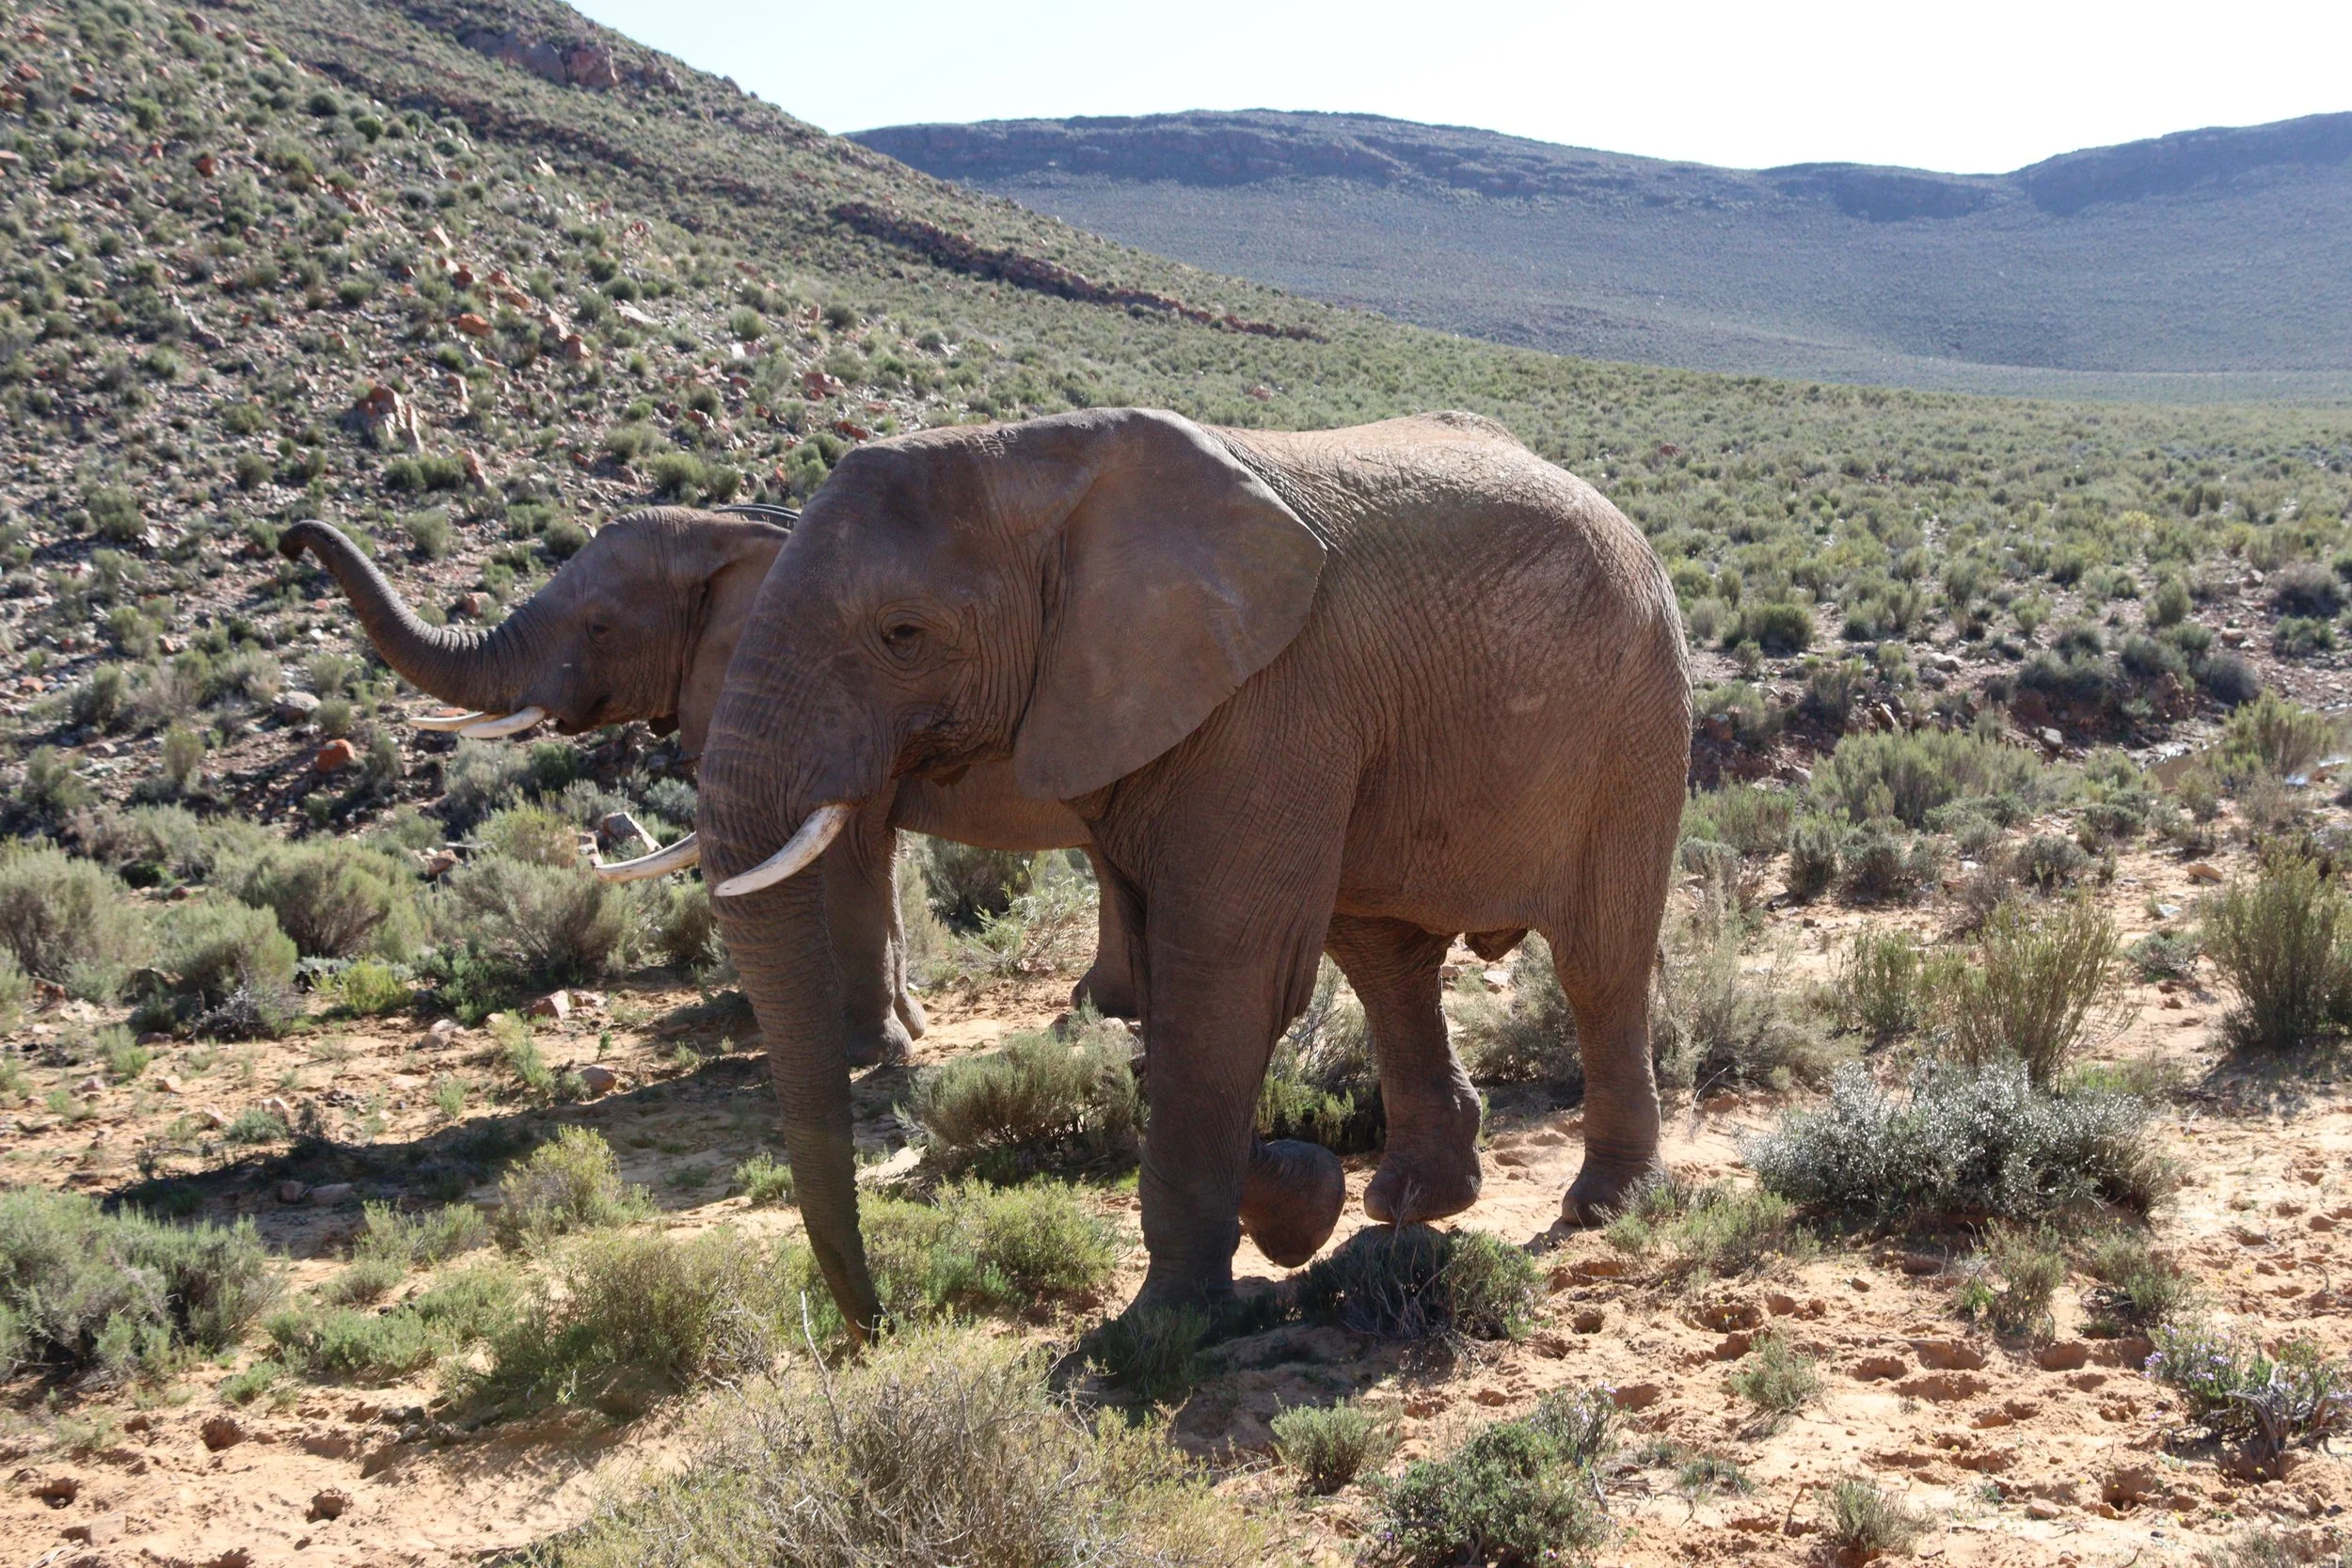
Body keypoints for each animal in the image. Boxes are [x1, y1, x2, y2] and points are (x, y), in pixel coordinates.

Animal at [275, 510, 1141, 1064]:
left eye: (598, 626)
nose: (289, 539)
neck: (723, 537)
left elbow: (849, 865)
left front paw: (874, 1051)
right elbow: (874, 868)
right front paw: (912, 1028)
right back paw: (1099, 1008)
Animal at [695, 406, 1692, 1336]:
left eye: (903, 633)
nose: (882, 1324)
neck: (1037, 460)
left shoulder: (1271, 703)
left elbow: (1224, 975)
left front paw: (1163, 1326)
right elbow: (1175, 991)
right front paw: (1299, 1202)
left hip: (1636, 719)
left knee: (1596, 960)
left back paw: (1604, 1205)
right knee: (1385, 960)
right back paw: (1407, 1201)